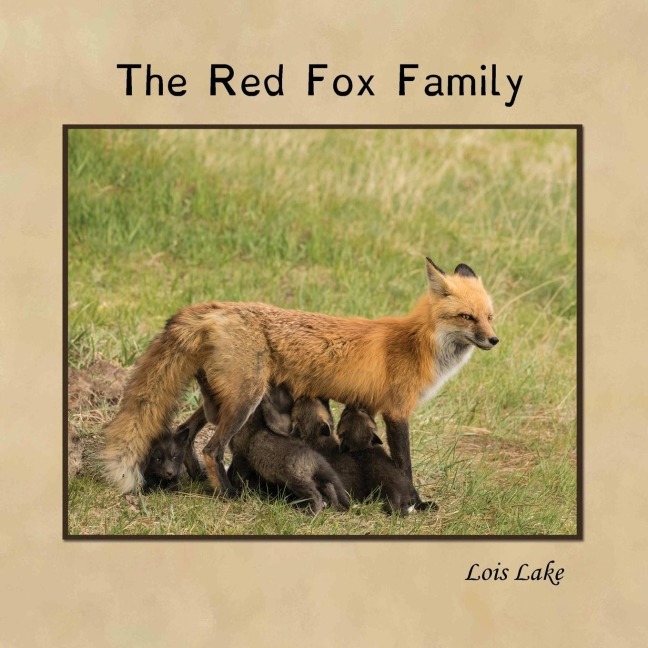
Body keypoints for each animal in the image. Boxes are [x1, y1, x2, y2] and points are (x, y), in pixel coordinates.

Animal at [102, 256, 498, 502]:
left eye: (490, 316)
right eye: (467, 317)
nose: (494, 340)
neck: (418, 344)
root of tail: (218, 308)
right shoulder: (397, 412)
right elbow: (405, 466)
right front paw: (415, 501)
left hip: (221, 398)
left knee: (186, 431)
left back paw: (198, 478)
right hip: (244, 400)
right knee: (212, 447)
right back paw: (229, 494)